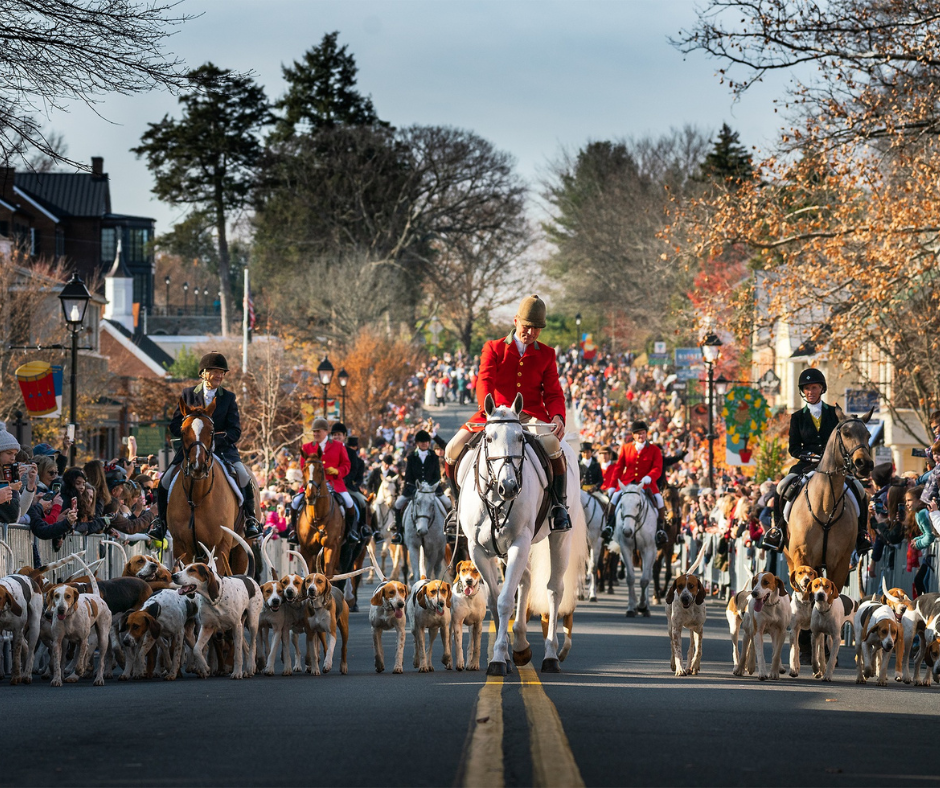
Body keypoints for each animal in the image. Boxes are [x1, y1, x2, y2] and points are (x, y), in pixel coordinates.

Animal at [167, 400, 252, 572]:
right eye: (183, 431)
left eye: (212, 431)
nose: (197, 466)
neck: (197, 496)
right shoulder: (181, 547)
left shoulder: (220, 546)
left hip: (242, 546)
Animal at [458, 398, 576, 676]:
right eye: (489, 437)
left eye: (520, 438)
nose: (509, 487)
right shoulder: (478, 549)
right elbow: (494, 600)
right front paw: (507, 655)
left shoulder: (519, 543)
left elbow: (504, 602)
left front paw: (499, 659)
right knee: (525, 580)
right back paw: (521, 646)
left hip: (559, 539)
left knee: (554, 589)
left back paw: (550, 655)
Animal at [612, 484, 656, 620]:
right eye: (621, 504)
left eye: (638, 504)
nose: (627, 531)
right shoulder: (625, 549)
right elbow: (630, 578)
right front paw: (632, 608)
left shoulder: (649, 550)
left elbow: (645, 580)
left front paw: (642, 606)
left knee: (648, 575)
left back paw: (646, 608)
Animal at [784, 410, 872, 588]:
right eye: (846, 433)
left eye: (868, 435)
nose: (864, 464)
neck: (825, 508)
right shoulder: (802, 558)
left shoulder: (840, 564)